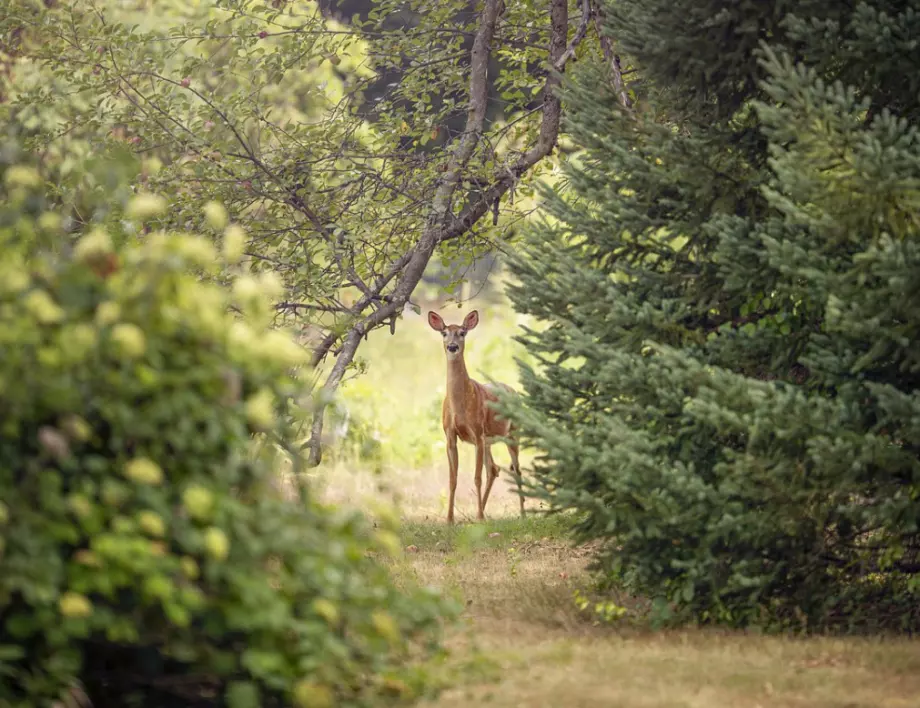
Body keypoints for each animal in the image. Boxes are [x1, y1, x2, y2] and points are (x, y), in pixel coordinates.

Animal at [426, 306, 520, 524]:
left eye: (462, 333)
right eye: (444, 333)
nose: (452, 346)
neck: (460, 406)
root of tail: (514, 391)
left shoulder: (477, 432)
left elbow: (476, 477)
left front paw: (478, 517)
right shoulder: (450, 436)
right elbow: (453, 479)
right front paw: (450, 519)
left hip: (512, 434)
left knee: (516, 471)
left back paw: (522, 513)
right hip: (489, 441)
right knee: (494, 468)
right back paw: (482, 510)